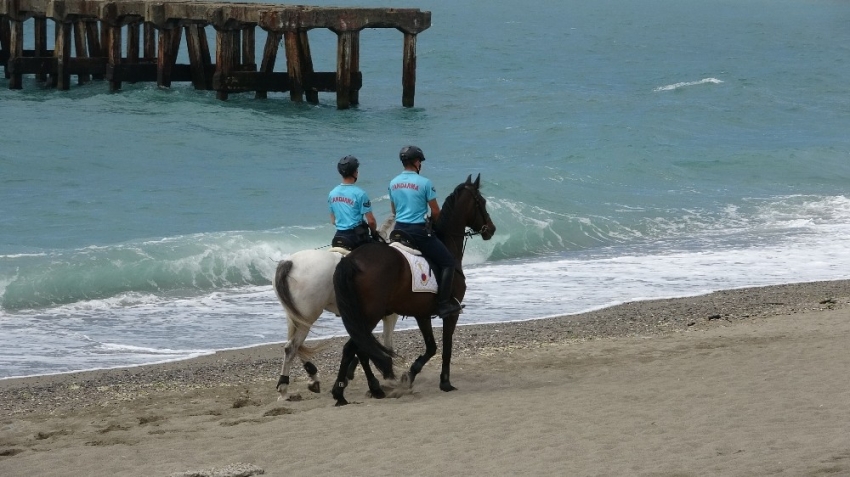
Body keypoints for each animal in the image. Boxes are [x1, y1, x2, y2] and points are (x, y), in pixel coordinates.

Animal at [272, 223, 398, 398]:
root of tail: (289, 262)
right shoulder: (388, 316)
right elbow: (385, 343)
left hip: (295, 316)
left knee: (293, 345)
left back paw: (310, 378)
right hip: (307, 317)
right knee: (292, 346)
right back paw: (285, 388)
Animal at [328, 173, 494, 404]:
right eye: (482, 202)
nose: (491, 229)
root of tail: (351, 260)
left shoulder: (421, 314)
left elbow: (432, 347)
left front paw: (410, 375)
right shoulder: (451, 313)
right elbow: (446, 348)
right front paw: (445, 383)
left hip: (362, 316)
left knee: (355, 348)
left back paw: (346, 391)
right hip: (369, 315)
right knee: (356, 348)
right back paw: (354, 390)